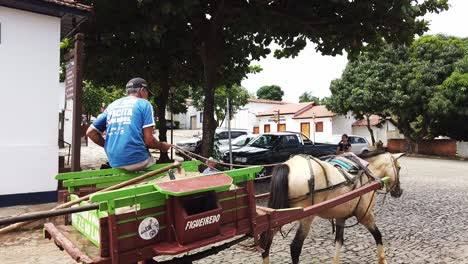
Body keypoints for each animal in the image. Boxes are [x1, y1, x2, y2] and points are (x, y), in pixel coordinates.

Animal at [262, 152, 404, 264]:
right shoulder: (365, 214)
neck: (367, 174)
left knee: (266, 243)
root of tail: (287, 166)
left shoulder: (341, 217)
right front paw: (382, 260)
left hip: (276, 216)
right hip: (306, 218)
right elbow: (378, 235)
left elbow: (338, 242)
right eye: (399, 168)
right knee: (295, 248)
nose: (399, 192)